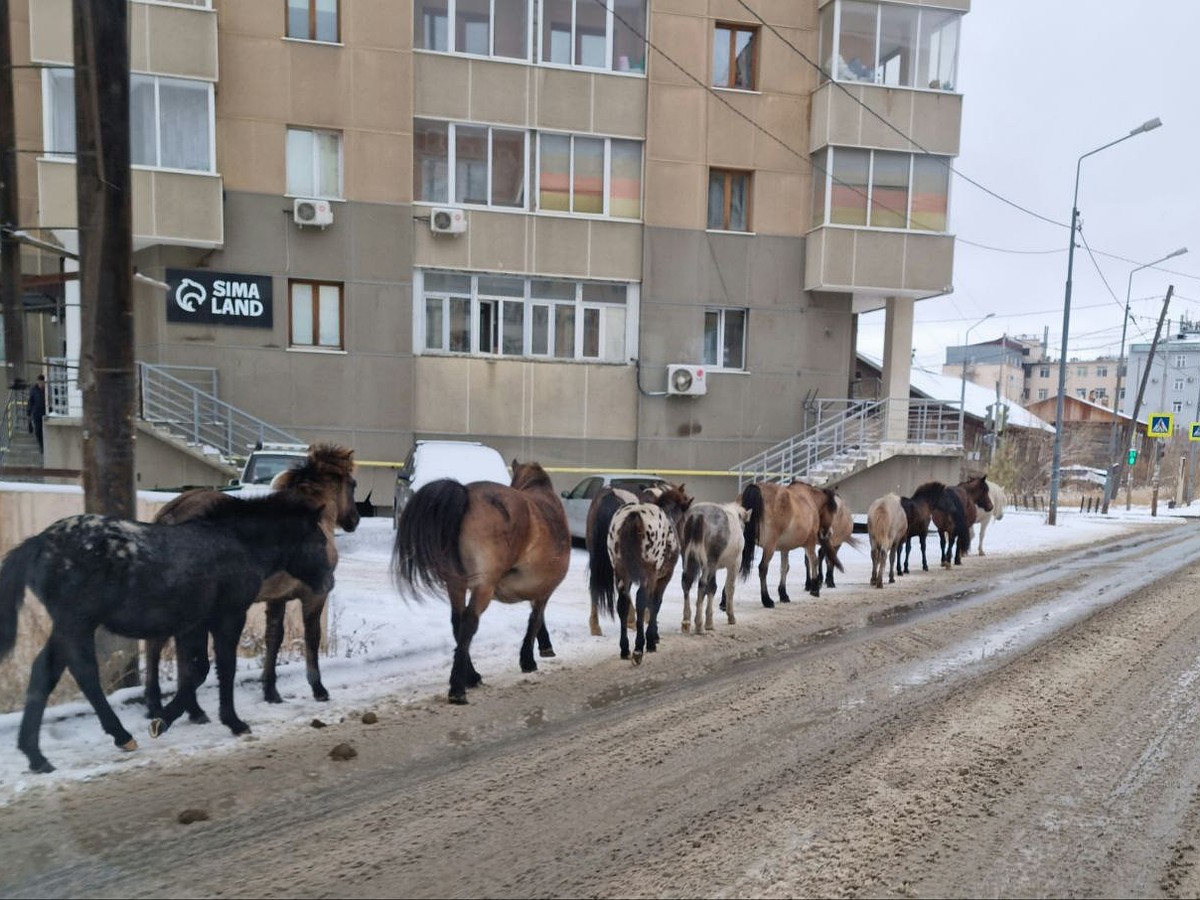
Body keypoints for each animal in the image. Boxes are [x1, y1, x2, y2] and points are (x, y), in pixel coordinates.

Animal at [0, 494, 333, 777]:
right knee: (84, 673)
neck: (237, 542)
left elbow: (197, 670)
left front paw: (179, 715)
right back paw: (120, 735)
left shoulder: (195, 623)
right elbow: (219, 668)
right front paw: (224, 721)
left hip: (68, 626)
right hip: (77, 623)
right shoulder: (227, 616)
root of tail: (40, 542)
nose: (328, 583)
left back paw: (36, 756)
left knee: (43, 673)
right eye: (318, 542)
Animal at [145, 441, 360, 724]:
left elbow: (274, 638)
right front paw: (318, 688)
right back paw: (187, 709)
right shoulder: (315, 595)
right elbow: (312, 638)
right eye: (353, 483)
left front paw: (270, 691)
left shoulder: (277, 598)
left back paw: (160, 706)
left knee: (157, 644)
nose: (354, 520)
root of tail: (171, 513)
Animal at [388, 458, 566, 705]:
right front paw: (528, 659)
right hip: (483, 587)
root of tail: (466, 494)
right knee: (469, 623)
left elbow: (536, 618)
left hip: (457, 583)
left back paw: (470, 676)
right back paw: (458, 687)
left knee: (458, 622)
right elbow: (535, 620)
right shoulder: (544, 591)